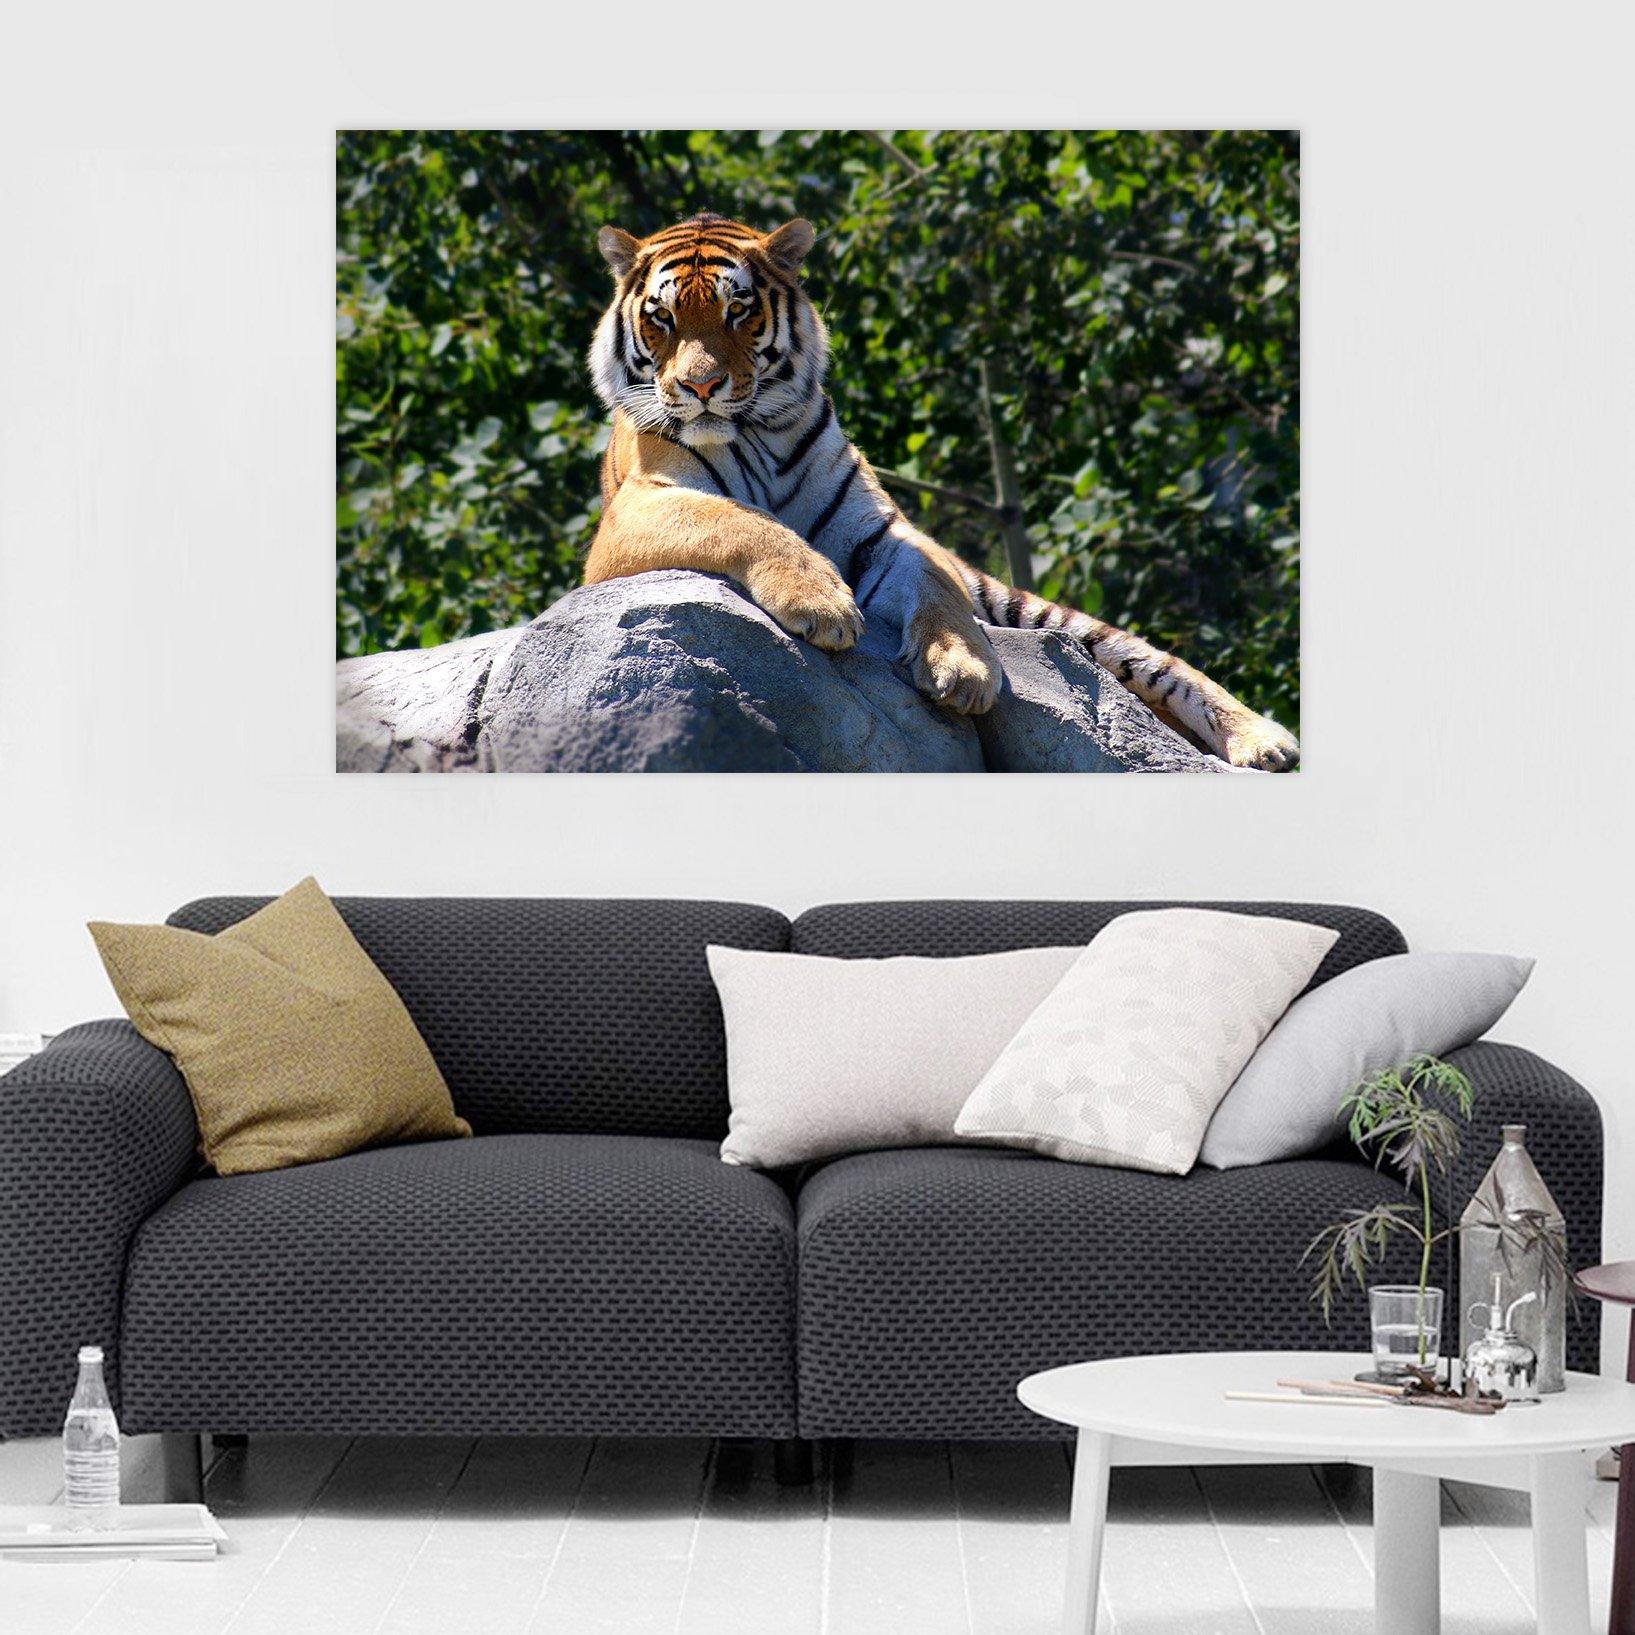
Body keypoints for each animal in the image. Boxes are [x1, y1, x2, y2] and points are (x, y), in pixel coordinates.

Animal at [584, 212, 1299, 771]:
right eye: (663, 319)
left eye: (737, 310)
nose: (700, 387)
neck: (758, 431)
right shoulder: (636, 513)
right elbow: (740, 521)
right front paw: (822, 603)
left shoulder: (884, 530)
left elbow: (935, 584)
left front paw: (964, 671)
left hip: (1043, 615)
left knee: (1157, 663)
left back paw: (1265, 741)